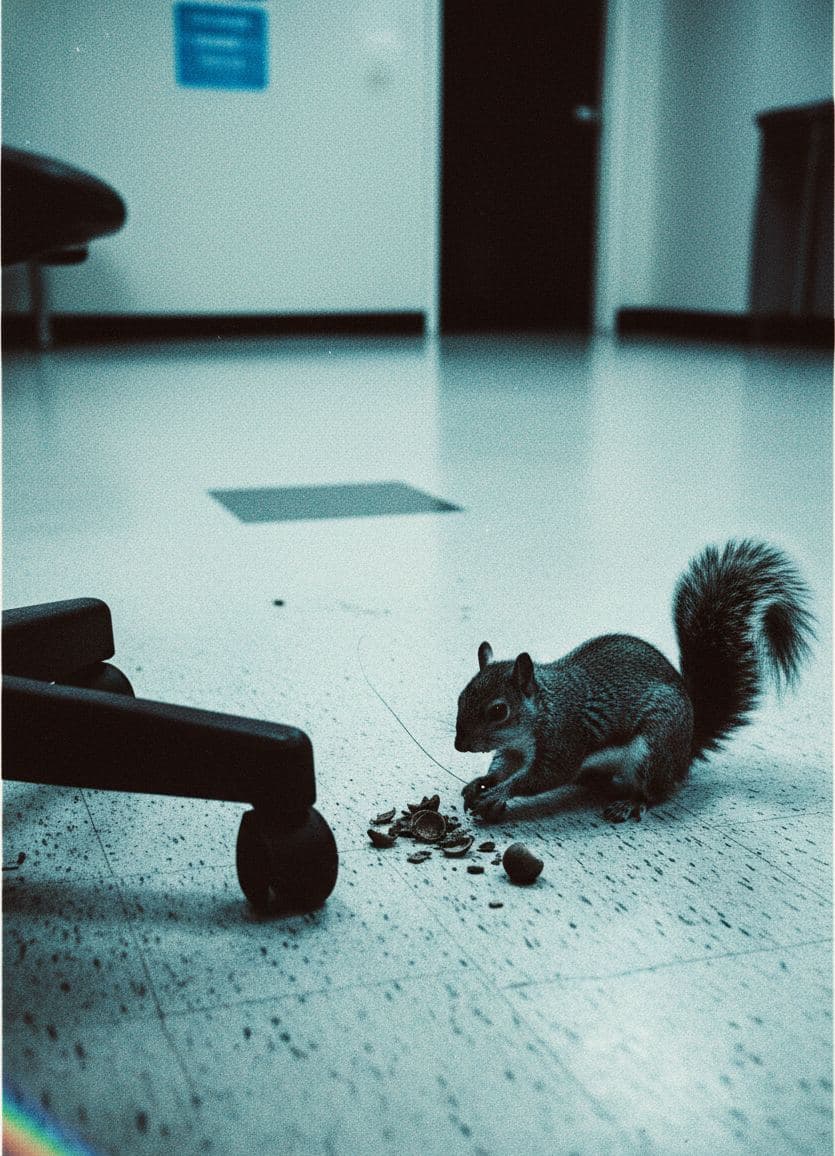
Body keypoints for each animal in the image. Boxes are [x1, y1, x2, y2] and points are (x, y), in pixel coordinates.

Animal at [455, 540, 816, 823]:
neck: (539, 713)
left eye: (498, 711)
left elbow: (542, 776)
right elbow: (503, 765)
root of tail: (685, 750)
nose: (460, 746)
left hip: (652, 750)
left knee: (656, 793)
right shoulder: (514, 750)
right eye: (460, 697)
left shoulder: (563, 739)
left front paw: (500, 792)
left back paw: (630, 803)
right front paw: (483, 781)